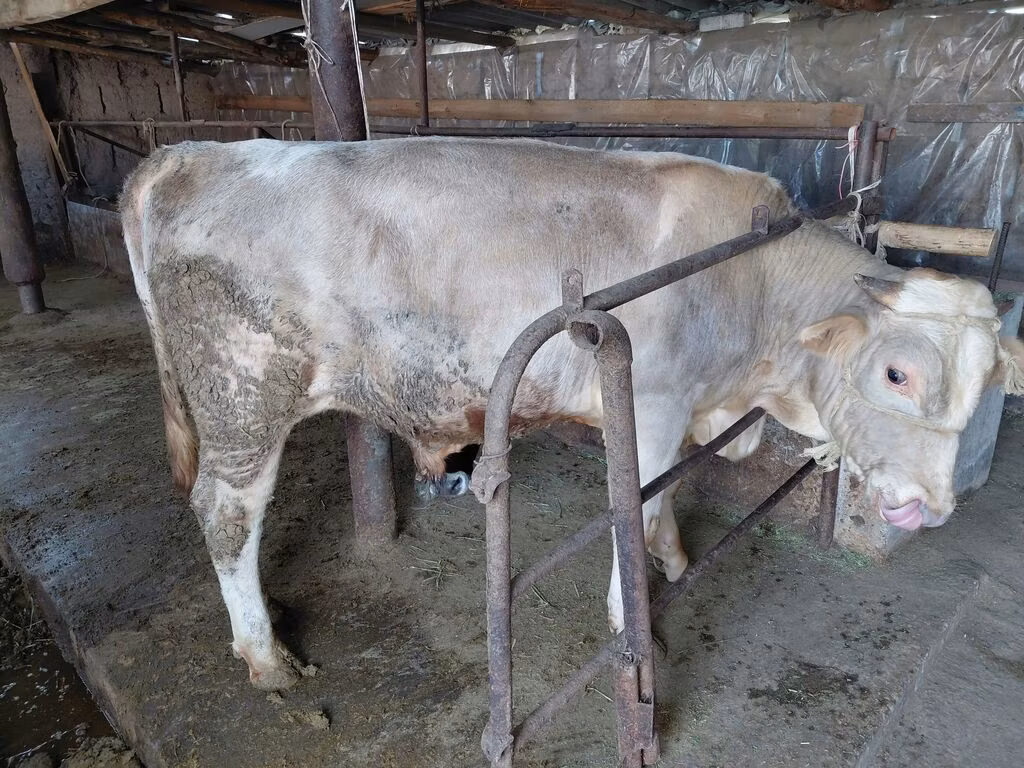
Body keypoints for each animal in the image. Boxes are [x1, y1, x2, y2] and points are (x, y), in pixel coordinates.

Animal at [120, 137, 1024, 690]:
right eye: (897, 372)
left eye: (987, 384)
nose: (929, 508)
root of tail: (189, 153)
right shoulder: (650, 404)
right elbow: (637, 502)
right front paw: (639, 626)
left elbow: (666, 501)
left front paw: (673, 557)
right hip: (244, 398)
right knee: (227, 514)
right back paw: (266, 655)